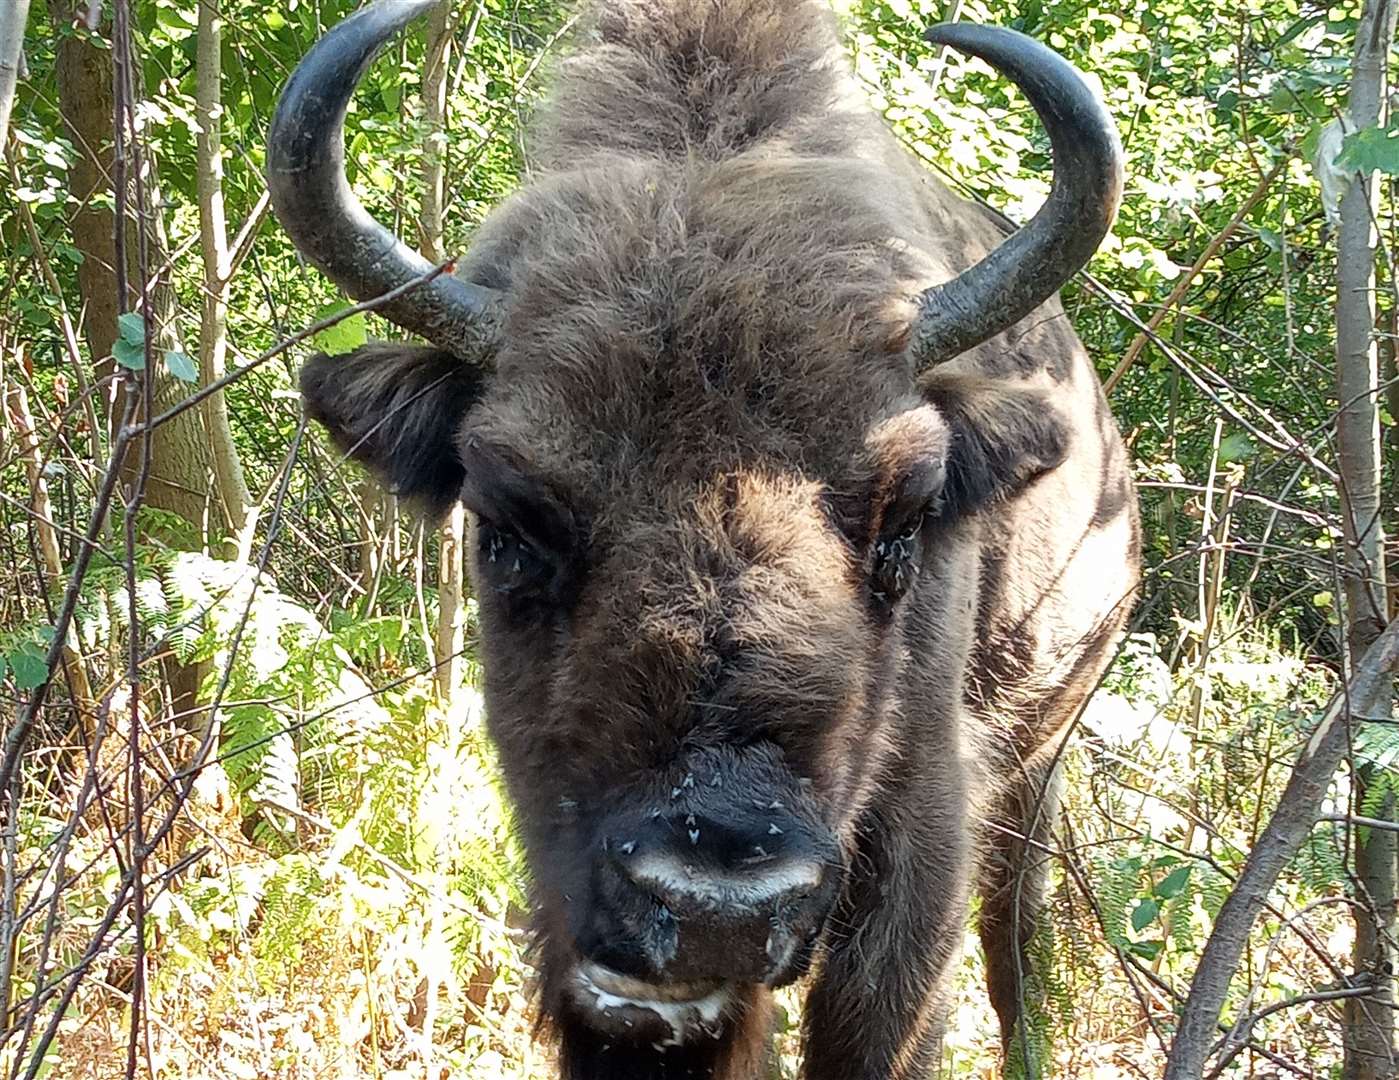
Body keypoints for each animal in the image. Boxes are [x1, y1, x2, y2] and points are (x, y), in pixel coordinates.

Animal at [267, 4, 1141, 1074]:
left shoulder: (921, 831)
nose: (717, 904)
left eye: (905, 527)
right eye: (509, 529)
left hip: (1042, 755)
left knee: (1016, 936)